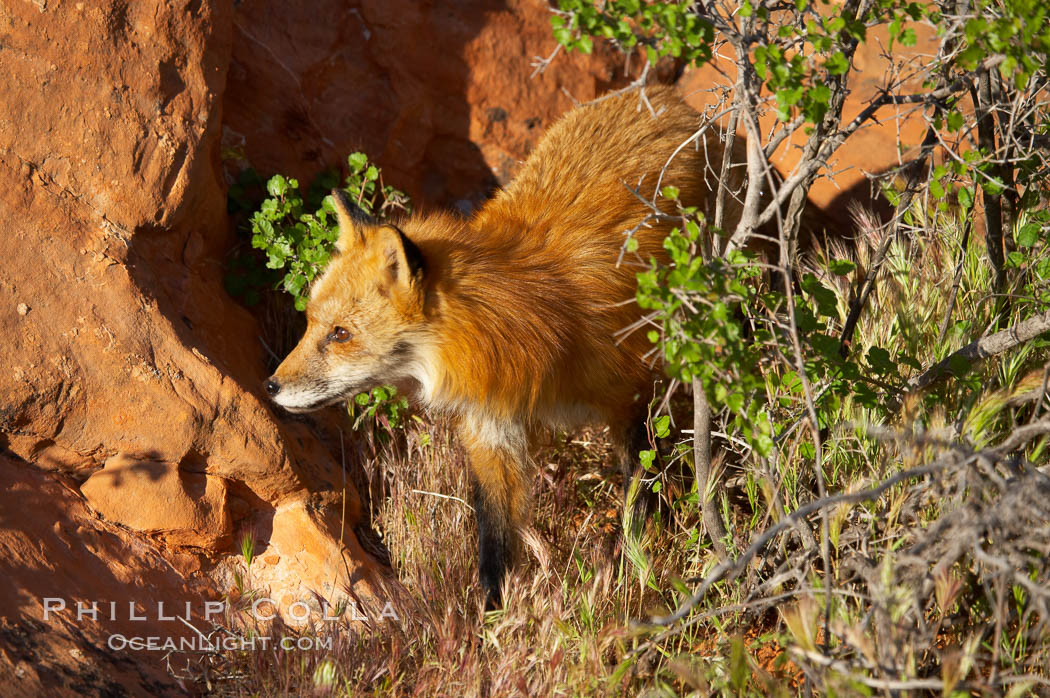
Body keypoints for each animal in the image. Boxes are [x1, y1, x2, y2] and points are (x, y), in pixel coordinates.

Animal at [266, 84, 751, 608]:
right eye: (311, 322)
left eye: (340, 334)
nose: (270, 386)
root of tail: (661, 96)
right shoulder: (492, 428)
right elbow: (494, 547)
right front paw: (491, 619)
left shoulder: (632, 396)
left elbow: (637, 501)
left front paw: (635, 573)